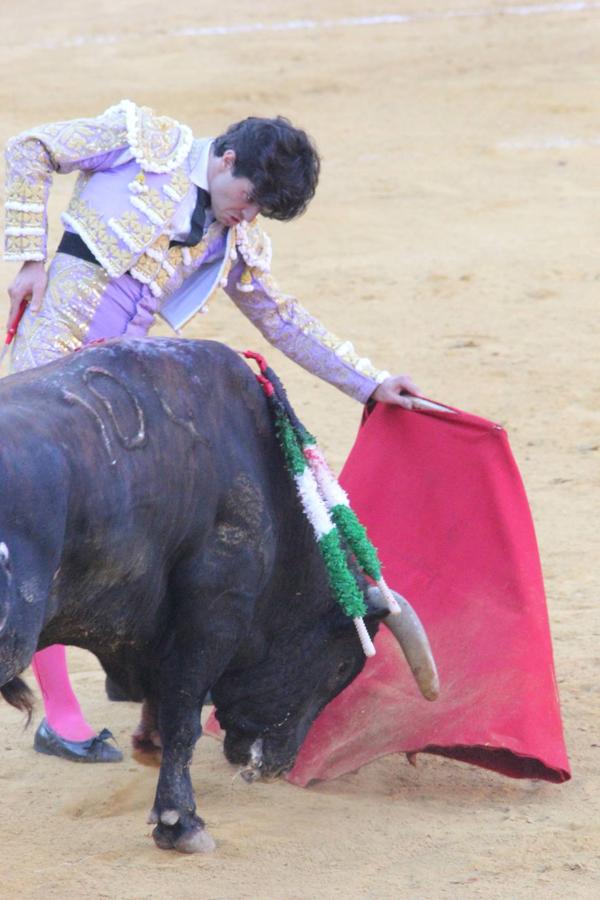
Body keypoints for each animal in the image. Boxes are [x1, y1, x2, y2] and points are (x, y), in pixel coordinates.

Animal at [0, 338, 434, 852]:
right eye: (342, 666)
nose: (278, 767)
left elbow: (166, 704)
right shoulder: (215, 609)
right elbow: (184, 714)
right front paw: (180, 823)